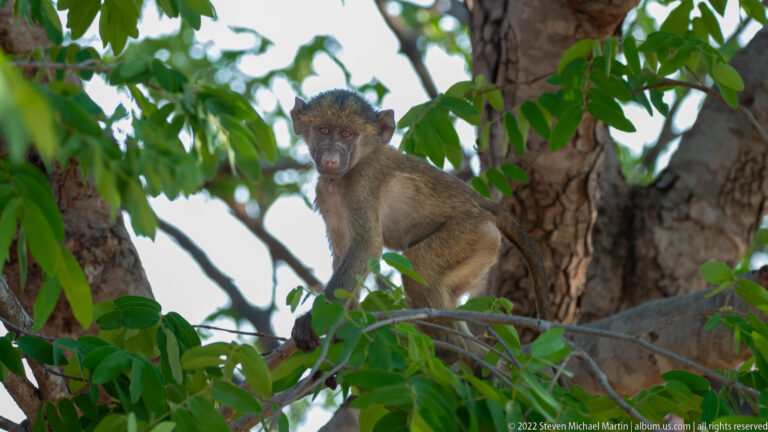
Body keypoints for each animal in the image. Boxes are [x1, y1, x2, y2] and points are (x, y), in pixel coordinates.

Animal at [289, 89, 551, 360]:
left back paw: (448, 351)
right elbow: (344, 254)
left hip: (473, 232)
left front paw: (312, 319)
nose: (330, 158)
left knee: (418, 265)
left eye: (346, 134)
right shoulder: (326, 194)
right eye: (323, 130)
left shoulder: (363, 181)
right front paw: (341, 326)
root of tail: (484, 205)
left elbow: (366, 246)